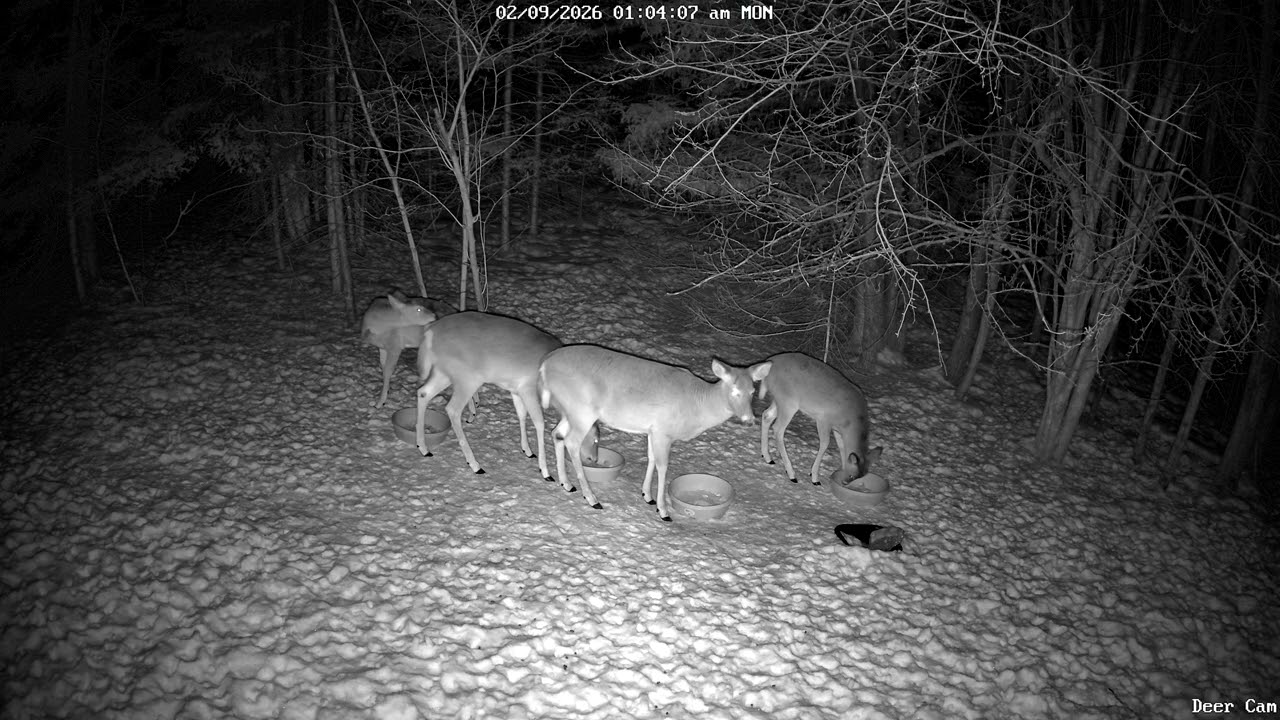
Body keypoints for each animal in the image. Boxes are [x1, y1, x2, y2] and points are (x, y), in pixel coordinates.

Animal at [539, 345, 771, 520]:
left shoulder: (652, 430)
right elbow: (663, 466)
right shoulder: (663, 430)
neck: (697, 404)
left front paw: (647, 496)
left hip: (570, 410)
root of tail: (544, 364)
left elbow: (650, 458)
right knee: (571, 442)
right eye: (734, 390)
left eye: (752, 391)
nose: (749, 420)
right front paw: (663, 510)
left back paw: (566, 484)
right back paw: (592, 499)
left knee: (557, 434)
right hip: (582, 410)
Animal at [757, 352, 882, 485]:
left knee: (766, 415)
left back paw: (768, 457)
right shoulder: (824, 419)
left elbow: (842, 448)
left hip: (779, 399)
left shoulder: (837, 429)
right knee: (778, 428)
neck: (851, 421)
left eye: (860, 476)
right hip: (788, 401)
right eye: (852, 475)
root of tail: (769, 364)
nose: (845, 483)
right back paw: (791, 474)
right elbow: (825, 444)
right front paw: (814, 477)